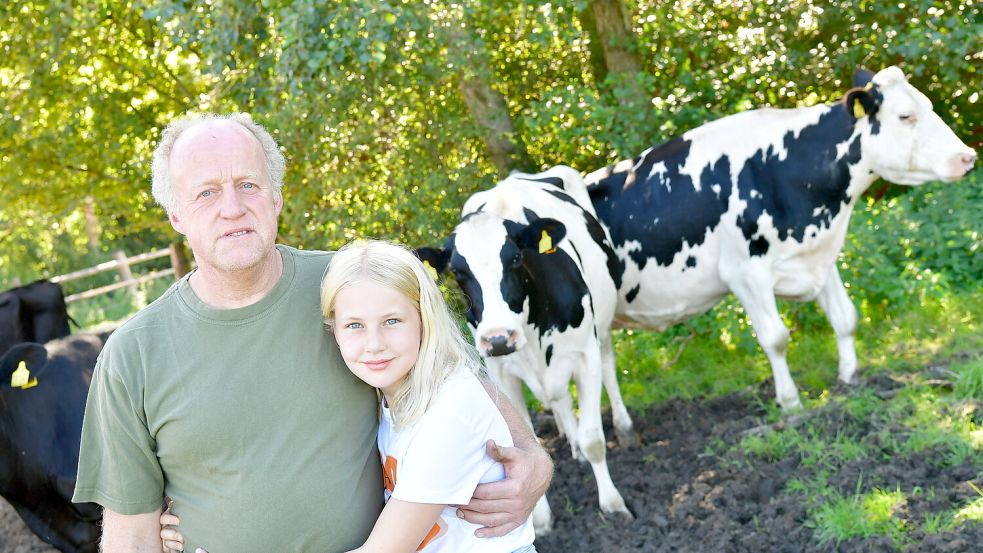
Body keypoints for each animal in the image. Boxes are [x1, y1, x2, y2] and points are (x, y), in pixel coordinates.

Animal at [418, 164, 636, 532]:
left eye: (516, 257)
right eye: (458, 273)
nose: (498, 338)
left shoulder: (584, 353)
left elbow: (594, 438)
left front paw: (613, 504)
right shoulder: (501, 372)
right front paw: (540, 519)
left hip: (603, 323)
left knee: (608, 363)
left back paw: (622, 424)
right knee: (560, 400)